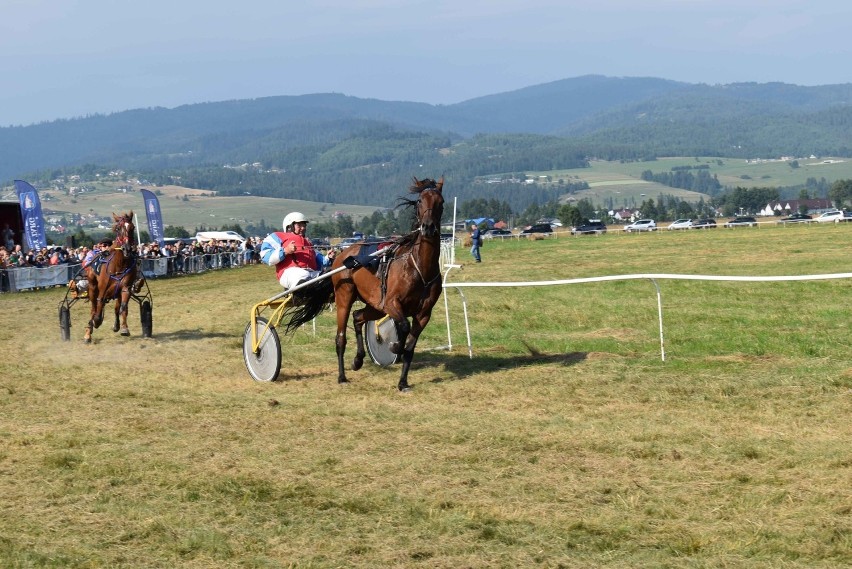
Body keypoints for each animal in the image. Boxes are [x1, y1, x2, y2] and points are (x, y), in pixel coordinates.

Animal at [84, 210, 141, 340]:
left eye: (132, 227)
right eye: (118, 228)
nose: (127, 248)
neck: (119, 264)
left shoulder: (125, 288)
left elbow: (123, 307)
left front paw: (124, 328)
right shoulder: (103, 290)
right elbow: (98, 307)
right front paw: (96, 321)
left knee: (116, 307)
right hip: (92, 287)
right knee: (93, 307)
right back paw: (89, 331)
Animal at [286, 176, 446, 390]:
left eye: (441, 202)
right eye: (420, 201)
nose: (428, 227)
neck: (420, 267)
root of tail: (342, 256)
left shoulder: (423, 314)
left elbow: (410, 347)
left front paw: (403, 382)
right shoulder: (392, 303)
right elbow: (403, 327)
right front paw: (394, 345)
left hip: (375, 304)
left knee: (358, 316)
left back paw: (358, 359)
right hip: (345, 297)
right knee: (341, 337)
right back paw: (342, 376)